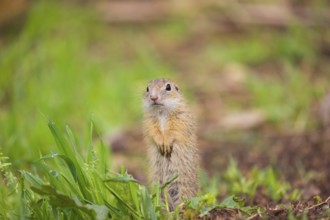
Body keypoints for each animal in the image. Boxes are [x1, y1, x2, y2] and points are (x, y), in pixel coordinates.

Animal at [142, 78, 199, 211]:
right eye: (147, 88)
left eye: (168, 87)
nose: (153, 97)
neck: (161, 112)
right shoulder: (149, 122)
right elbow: (153, 131)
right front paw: (161, 143)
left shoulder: (181, 119)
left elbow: (174, 131)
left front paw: (166, 143)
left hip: (182, 184)